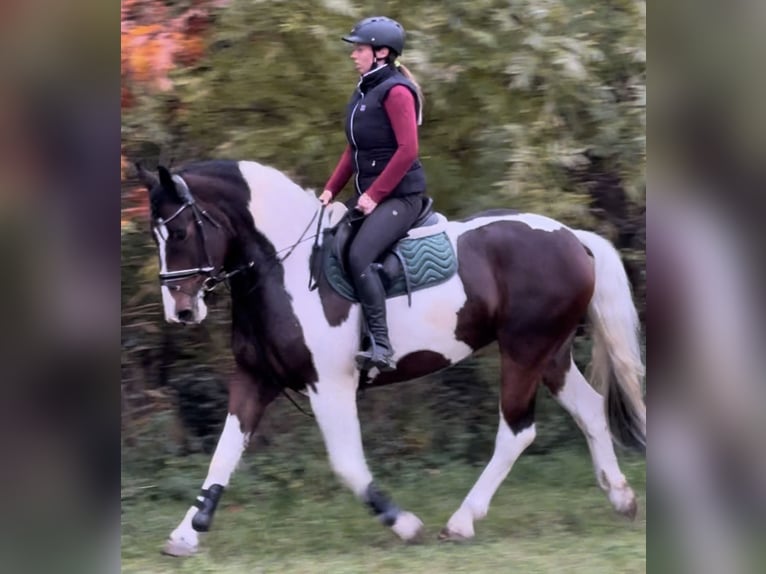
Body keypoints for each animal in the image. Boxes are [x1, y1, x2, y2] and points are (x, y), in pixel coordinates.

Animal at [135, 159, 644, 560]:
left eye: (179, 231)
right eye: (154, 235)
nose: (181, 311)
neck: (286, 268)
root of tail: (572, 237)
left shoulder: (330, 385)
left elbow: (347, 465)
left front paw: (404, 523)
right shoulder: (255, 378)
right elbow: (223, 455)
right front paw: (186, 533)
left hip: (523, 350)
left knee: (517, 432)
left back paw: (461, 521)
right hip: (550, 353)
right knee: (590, 409)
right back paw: (621, 497)